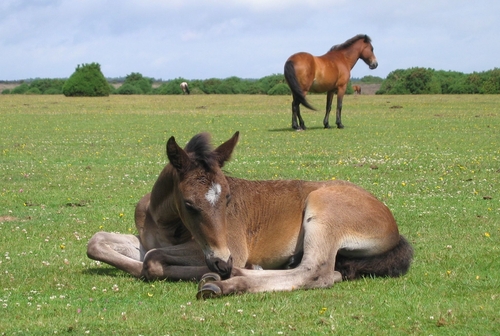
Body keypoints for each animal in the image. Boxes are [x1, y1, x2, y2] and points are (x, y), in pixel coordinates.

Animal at [87, 133, 414, 298]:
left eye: (228, 197)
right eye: (190, 204)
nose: (222, 262)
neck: (166, 223)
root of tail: (393, 225)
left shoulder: (229, 247)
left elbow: (152, 261)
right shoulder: (146, 241)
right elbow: (97, 243)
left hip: (323, 210)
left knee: (316, 272)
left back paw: (224, 283)